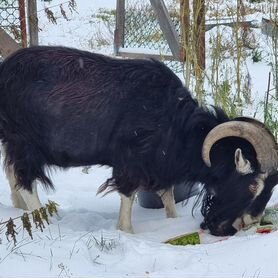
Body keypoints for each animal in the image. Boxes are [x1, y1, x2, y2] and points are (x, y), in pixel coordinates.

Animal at [0, 46, 278, 235]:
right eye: (253, 184)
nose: (251, 222)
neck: (173, 121)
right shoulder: (130, 163)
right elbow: (128, 196)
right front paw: (126, 231)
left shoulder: (160, 165)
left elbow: (167, 196)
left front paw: (172, 221)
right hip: (24, 143)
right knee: (26, 181)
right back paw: (43, 221)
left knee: (12, 174)